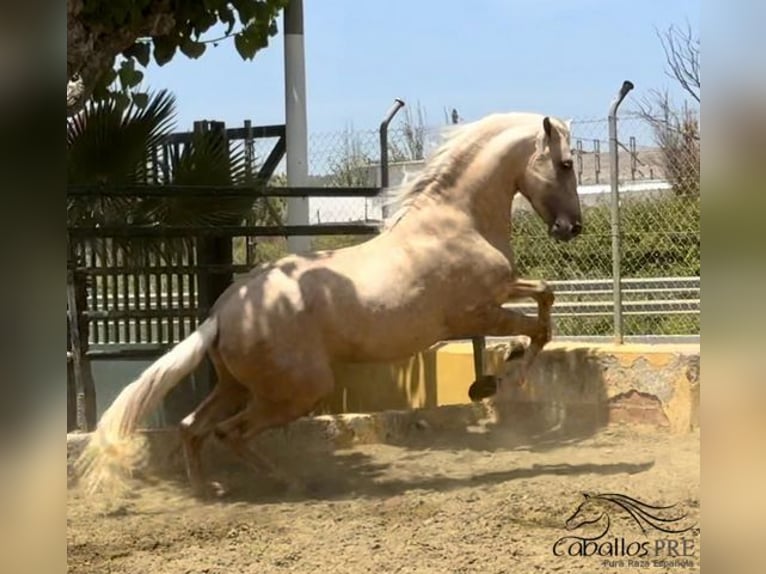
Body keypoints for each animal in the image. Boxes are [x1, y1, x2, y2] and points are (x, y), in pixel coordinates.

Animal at [76, 111, 584, 496]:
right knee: (228, 432)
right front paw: (507, 376)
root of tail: (221, 314)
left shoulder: (501, 292)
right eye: (565, 163)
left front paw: (505, 372)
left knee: (191, 426)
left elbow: (545, 295)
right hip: (298, 390)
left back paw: (208, 491)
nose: (572, 228)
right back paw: (290, 483)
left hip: (236, 385)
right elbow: (539, 326)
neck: (457, 222)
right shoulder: (475, 312)